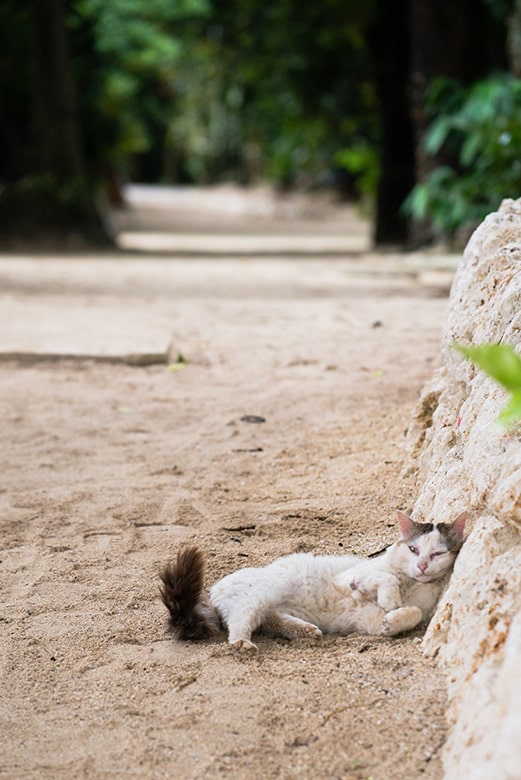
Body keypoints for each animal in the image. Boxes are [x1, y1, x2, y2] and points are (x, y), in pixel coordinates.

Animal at [159, 508, 468, 648]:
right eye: (413, 549)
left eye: (438, 553)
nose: (422, 566)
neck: (412, 583)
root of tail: (214, 589)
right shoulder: (349, 576)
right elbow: (384, 580)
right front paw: (390, 601)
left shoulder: (366, 619)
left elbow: (413, 613)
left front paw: (391, 621)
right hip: (260, 594)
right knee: (240, 621)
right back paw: (242, 643)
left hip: (270, 607)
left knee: (271, 620)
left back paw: (305, 631)